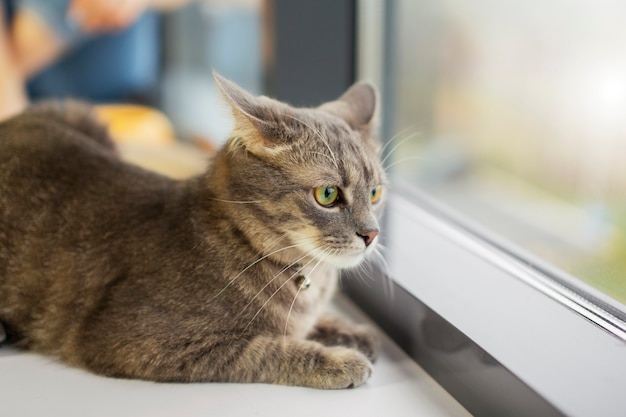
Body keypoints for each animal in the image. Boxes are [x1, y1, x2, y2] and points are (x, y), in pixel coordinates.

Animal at [0, 73, 386, 388]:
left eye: (375, 193)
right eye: (328, 194)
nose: (371, 234)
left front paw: (347, 330)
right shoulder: (139, 340)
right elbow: (266, 349)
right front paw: (339, 361)